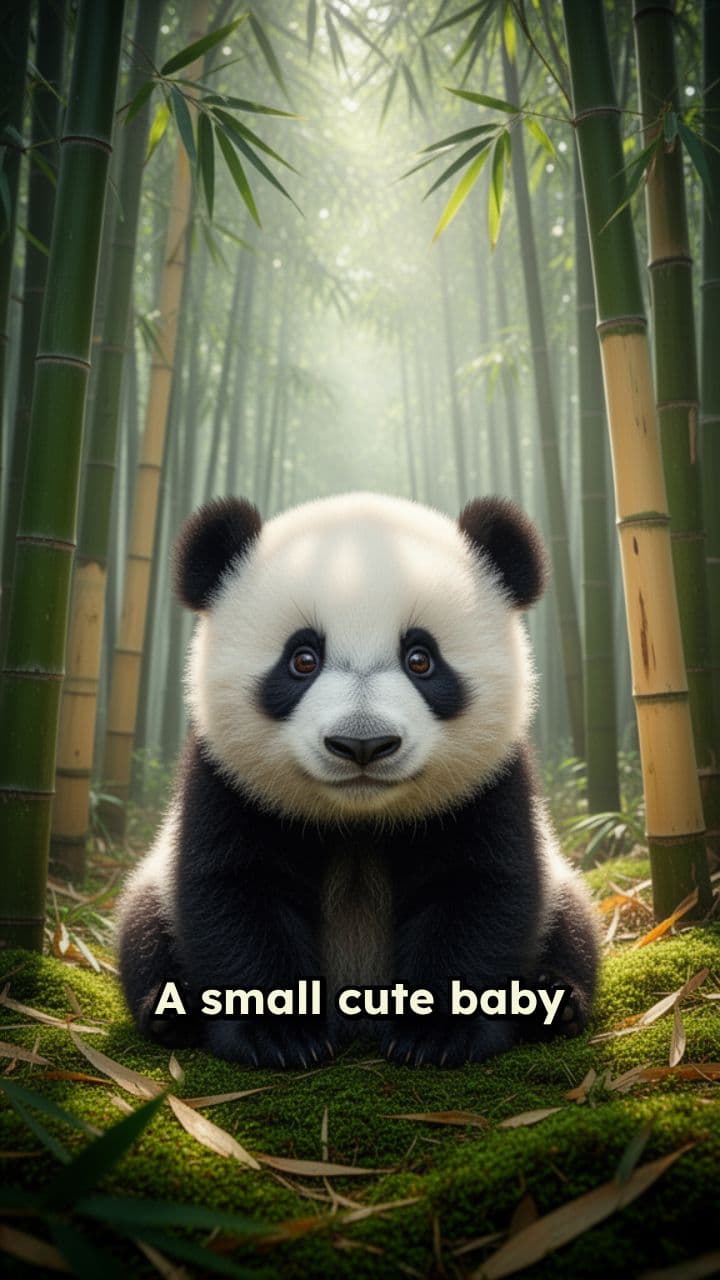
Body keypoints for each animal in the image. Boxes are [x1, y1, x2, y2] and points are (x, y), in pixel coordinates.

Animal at [117, 491, 599, 1068]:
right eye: (302, 658)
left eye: (421, 659)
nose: (362, 745)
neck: (359, 820)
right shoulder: (225, 780)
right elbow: (237, 888)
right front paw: (280, 1034)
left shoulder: (490, 783)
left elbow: (476, 888)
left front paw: (436, 1034)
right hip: (151, 886)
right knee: (144, 933)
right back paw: (173, 1010)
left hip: (563, 888)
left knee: (573, 930)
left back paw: (554, 1001)